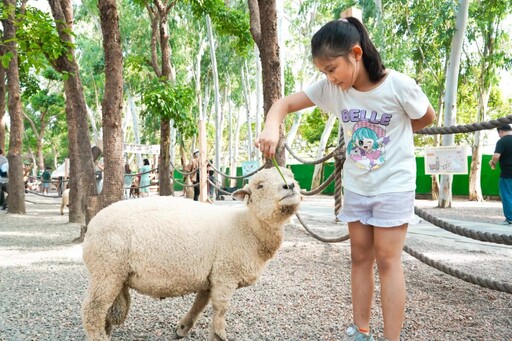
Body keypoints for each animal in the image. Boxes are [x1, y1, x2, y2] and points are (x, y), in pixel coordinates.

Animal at [82, 166, 302, 338]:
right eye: (259, 186)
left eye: (292, 177)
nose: (290, 186)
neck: (247, 229)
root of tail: (91, 226)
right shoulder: (225, 275)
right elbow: (220, 310)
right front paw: (218, 335)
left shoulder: (211, 276)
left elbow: (200, 303)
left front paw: (182, 328)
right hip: (106, 270)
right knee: (93, 312)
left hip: (114, 274)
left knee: (106, 312)